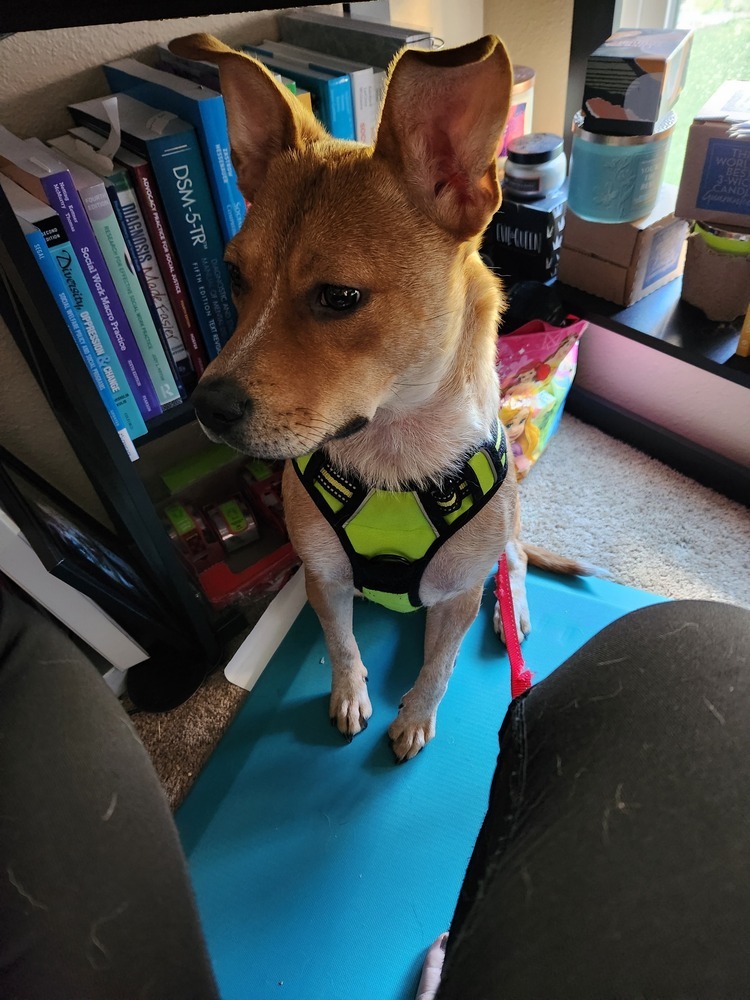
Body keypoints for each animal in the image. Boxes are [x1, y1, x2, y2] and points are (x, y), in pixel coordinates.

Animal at [172, 35, 592, 760]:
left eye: (340, 297)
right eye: (232, 275)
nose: (206, 408)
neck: (393, 451)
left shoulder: (454, 597)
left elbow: (439, 666)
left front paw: (416, 714)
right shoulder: (322, 577)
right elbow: (340, 645)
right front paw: (349, 694)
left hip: (506, 527)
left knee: (512, 560)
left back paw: (512, 610)